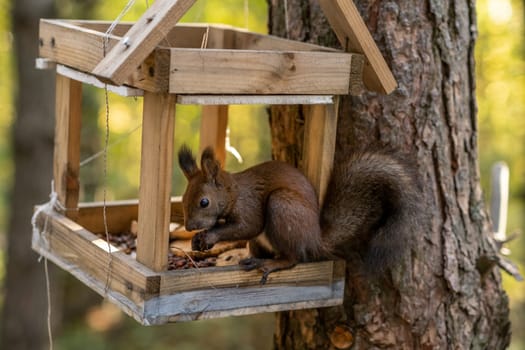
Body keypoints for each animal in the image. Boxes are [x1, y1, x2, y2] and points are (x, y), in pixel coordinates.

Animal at [178, 145, 420, 284]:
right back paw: (254, 260)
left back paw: (271, 265)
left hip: (282, 207)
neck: (233, 193)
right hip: (261, 240)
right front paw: (197, 240)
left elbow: (247, 227)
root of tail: (316, 240)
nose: (189, 227)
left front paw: (209, 236)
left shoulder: (250, 207)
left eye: (204, 202)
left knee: (293, 258)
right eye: (182, 199)